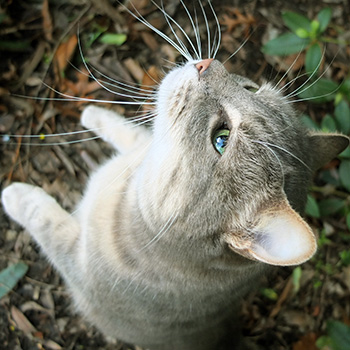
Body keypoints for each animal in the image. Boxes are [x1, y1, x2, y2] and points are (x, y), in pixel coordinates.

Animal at [1, 0, 348, 350]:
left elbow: (46, 221)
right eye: (250, 87)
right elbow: (131, 131)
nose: (207, 64)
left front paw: (15, 195)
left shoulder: (78, 262)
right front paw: (94, 114)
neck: (134, 184)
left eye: (222, 139)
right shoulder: (142, 148)